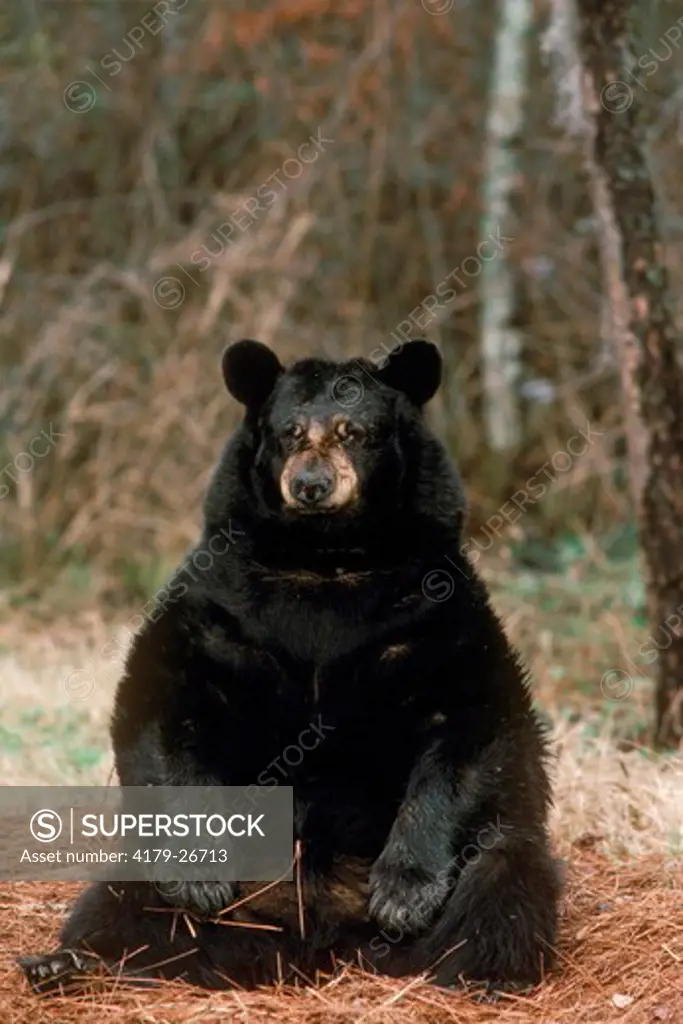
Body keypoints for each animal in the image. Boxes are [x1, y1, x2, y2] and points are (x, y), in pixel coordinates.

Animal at [21, 342, 565, 991]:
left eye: (354, 431)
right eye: (289, 432)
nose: (310, 483)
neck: (323, 563)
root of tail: (312, 939)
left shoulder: (435, 612)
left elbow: (468, 724)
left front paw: (402, 893)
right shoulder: (219, 606)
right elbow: (166, 706)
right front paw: (200, 877)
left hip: (491, 867)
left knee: (504, 883)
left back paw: (481, 972)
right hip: (159, 878)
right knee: (119, 903)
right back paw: (71, 962)